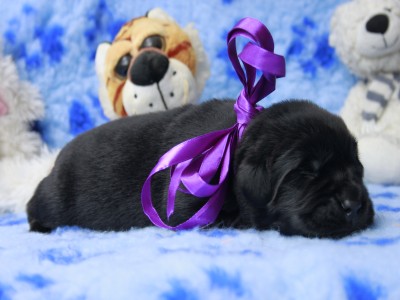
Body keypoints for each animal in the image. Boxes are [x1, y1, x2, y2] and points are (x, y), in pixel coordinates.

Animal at [28, 99, 376, 238]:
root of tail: (58, 156)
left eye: (358, 169)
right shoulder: (186, 204)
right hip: (56, 195)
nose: (354, 204)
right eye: (307, 173)